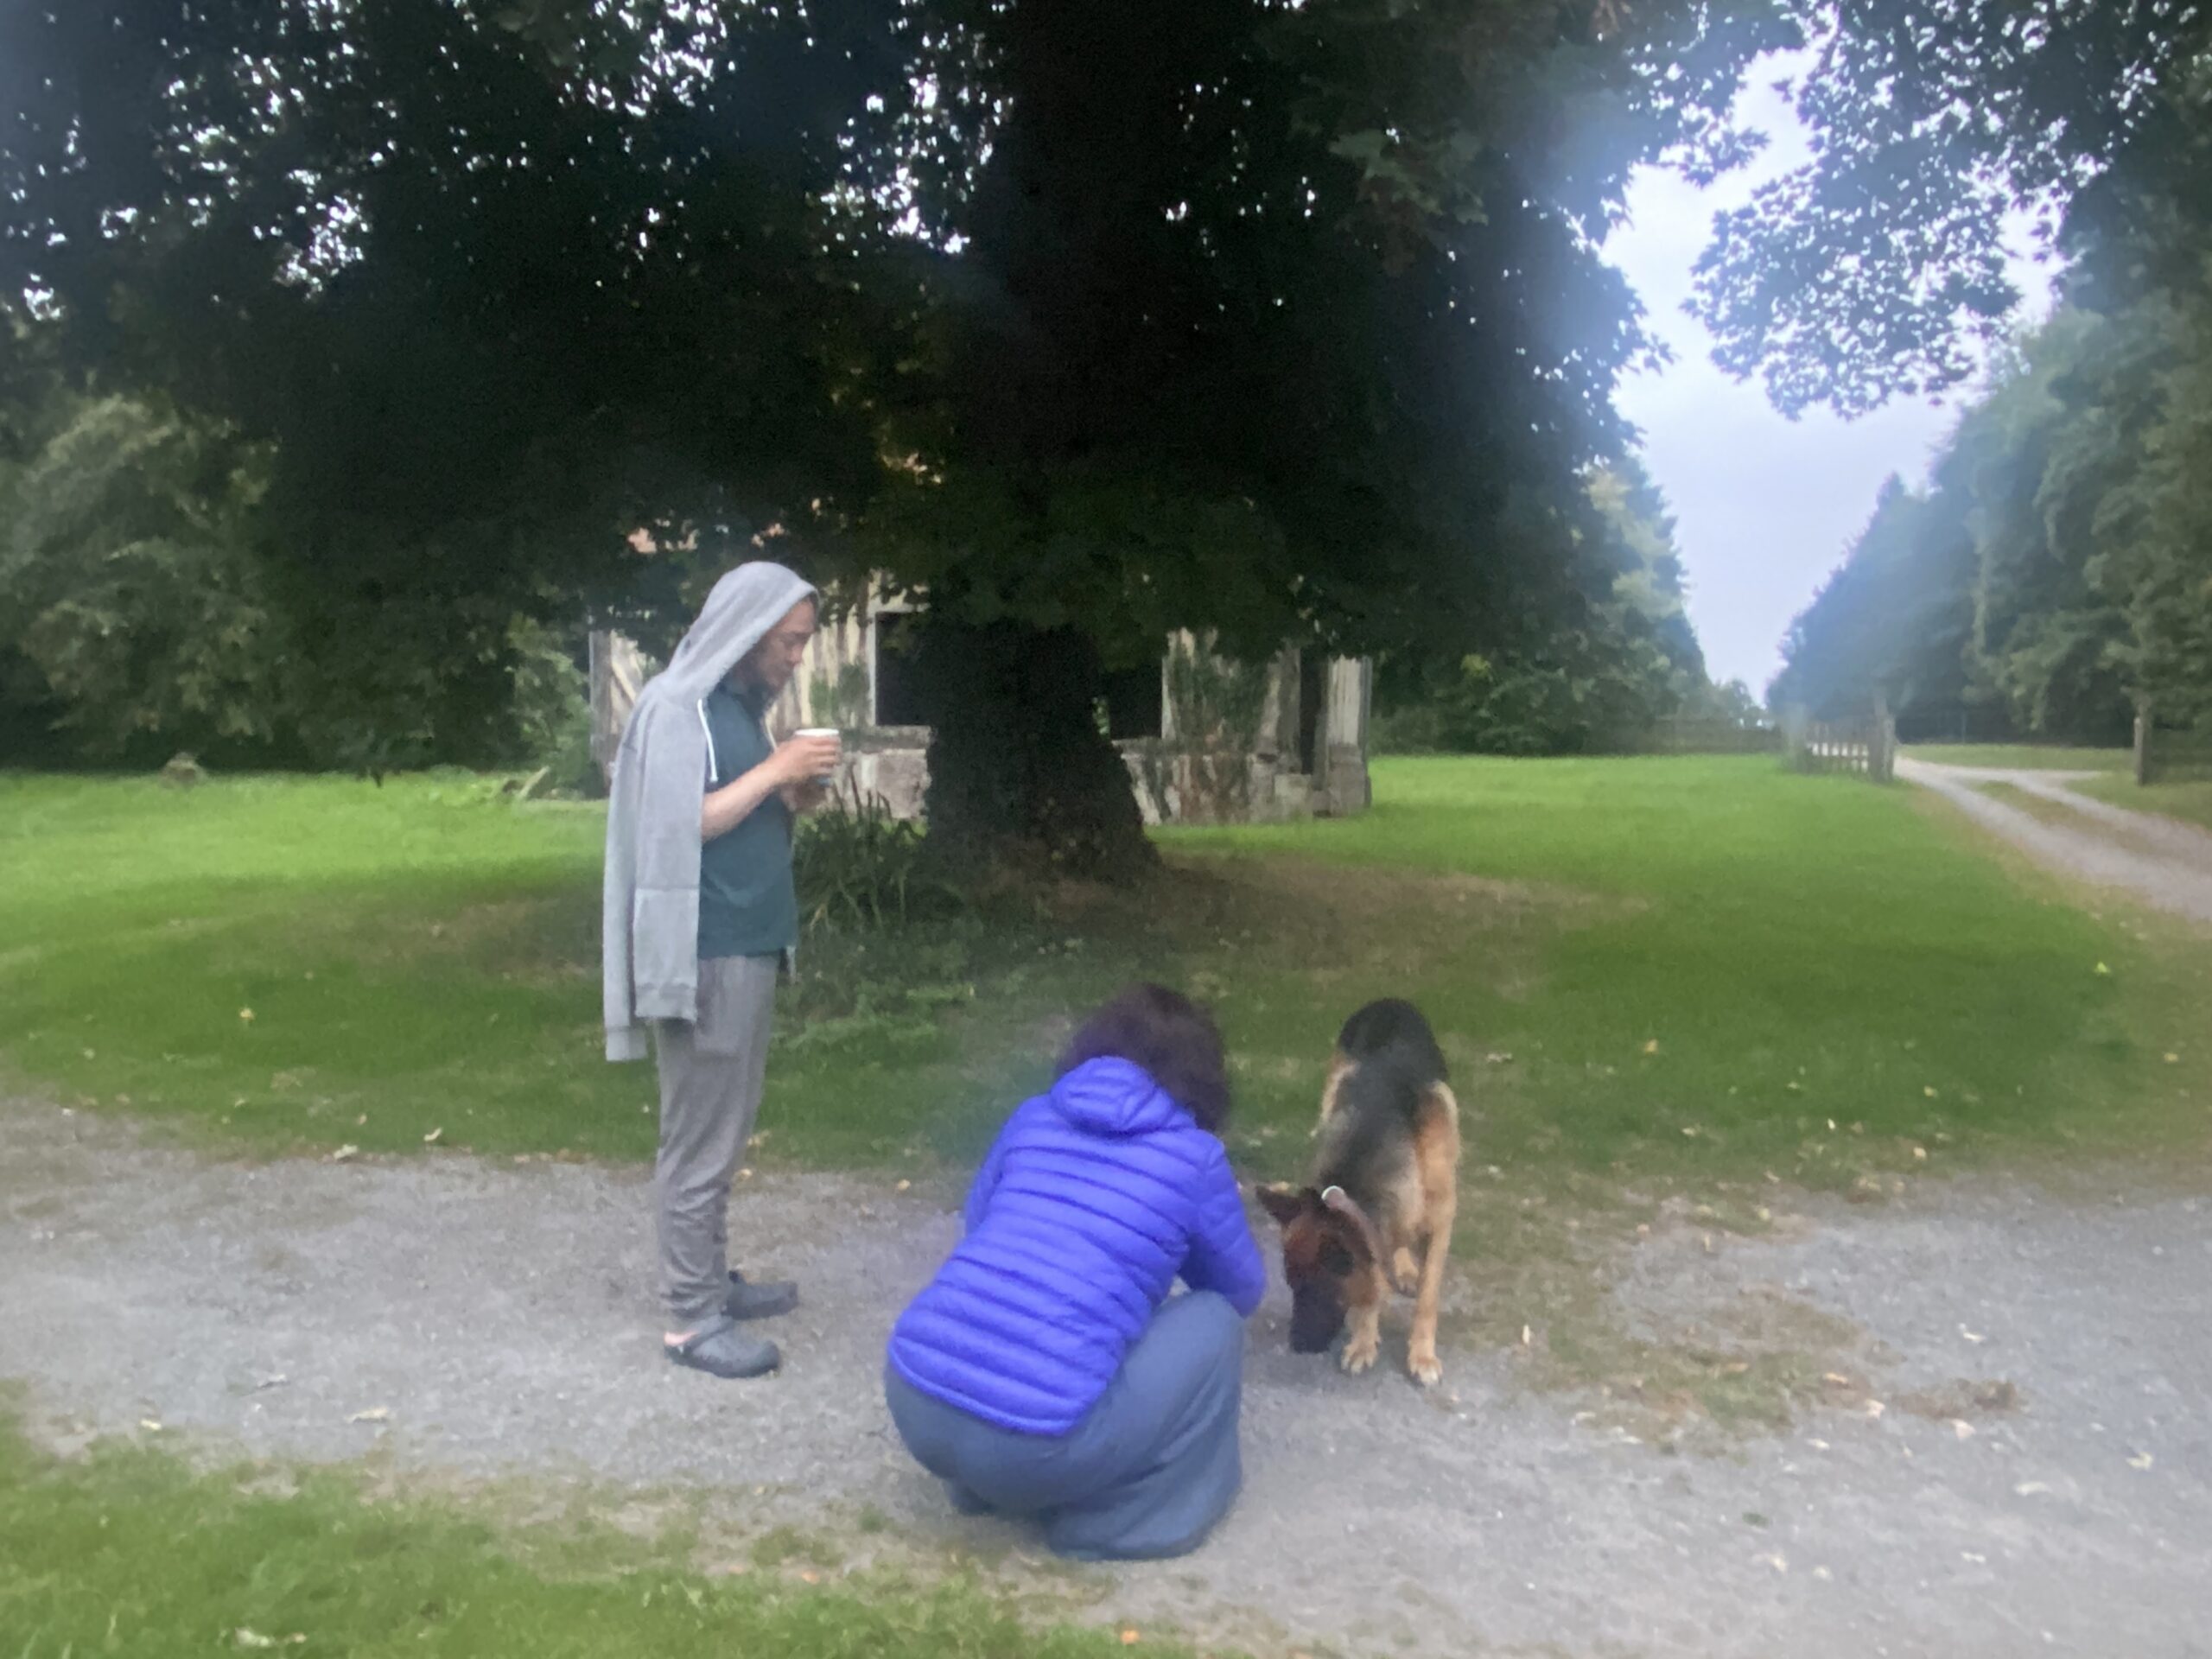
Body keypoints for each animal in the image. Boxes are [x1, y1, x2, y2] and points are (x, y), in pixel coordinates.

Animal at [1256, 998, 1460, 1387]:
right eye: (1292, 1285)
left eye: (1322, 1289)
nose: (1296, 1346)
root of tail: (1389, 1002)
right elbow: (1373, 1284)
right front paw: (1364, 1340)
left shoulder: (1442, 1218)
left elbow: (1428, 1296)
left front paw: (1422, 1355)